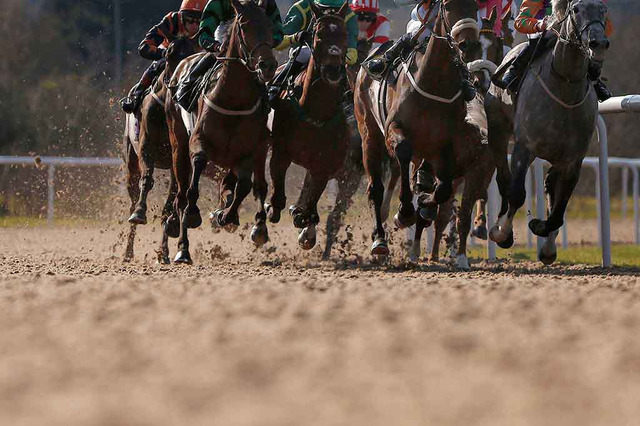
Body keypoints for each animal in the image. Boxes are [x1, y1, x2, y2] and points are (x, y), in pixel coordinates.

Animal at [122, 35, 198, 262]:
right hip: (130, 160)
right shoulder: (146, 147)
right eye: (170, 54)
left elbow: (170, 204)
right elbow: (147, 180)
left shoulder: (177, 157)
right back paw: (128, 251)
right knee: (133, 195)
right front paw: (139, 212)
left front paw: (164, 249)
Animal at [170, 0, 278, 264]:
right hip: (178, 145)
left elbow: (245, 186)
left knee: (248, 185)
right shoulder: (198, 142)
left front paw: (226, 216)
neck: (233, 100)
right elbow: (195, 180)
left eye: (271, 26)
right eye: (244, 26)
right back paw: (183, 249)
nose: (268, 65)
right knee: (180, 195)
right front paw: (193, 214)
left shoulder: (251, 149)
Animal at [268, 1, 352, 251]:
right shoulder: (280, 153)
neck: (316, 113)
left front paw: (304, 223)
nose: (333, 71)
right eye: (319, 35)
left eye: (344, 35)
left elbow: (310, 203)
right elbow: (277, 199)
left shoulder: (324, 165)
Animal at [356, 0, 480, 260]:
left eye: (475, 5)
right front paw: (403, 213)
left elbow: (441, 189)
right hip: (369, 134)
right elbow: (403, 153)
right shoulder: (394, 130)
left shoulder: (445, 144)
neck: (434, 82)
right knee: (376, 188)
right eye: (447, 6)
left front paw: (424, 207)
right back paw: (380, 239)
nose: (468, 44)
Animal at [484, 0, 608, 264]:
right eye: (576, 9)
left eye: (603, 9)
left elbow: (559, 209)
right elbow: (516, 193)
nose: (598, 43)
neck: (565, 86)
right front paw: (502, 233)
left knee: (550, 186)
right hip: (497, 132)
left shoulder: (573, 160)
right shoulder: (524, 148)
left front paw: (542, 235)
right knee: (504, 179)